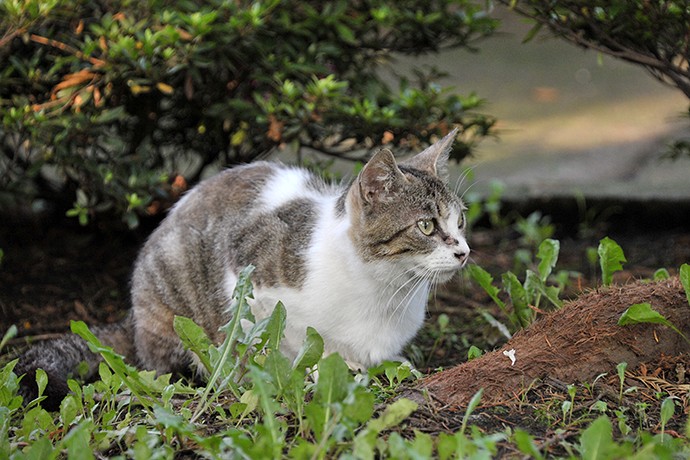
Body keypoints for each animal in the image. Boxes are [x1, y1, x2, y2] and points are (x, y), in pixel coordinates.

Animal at [17, 129, 468, 410]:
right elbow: (284, 341)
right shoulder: (250, 272)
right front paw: (314, 370)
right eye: (427, 226)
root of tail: (133, 319)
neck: (383, 288)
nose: (464, 251)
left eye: (460, 220)